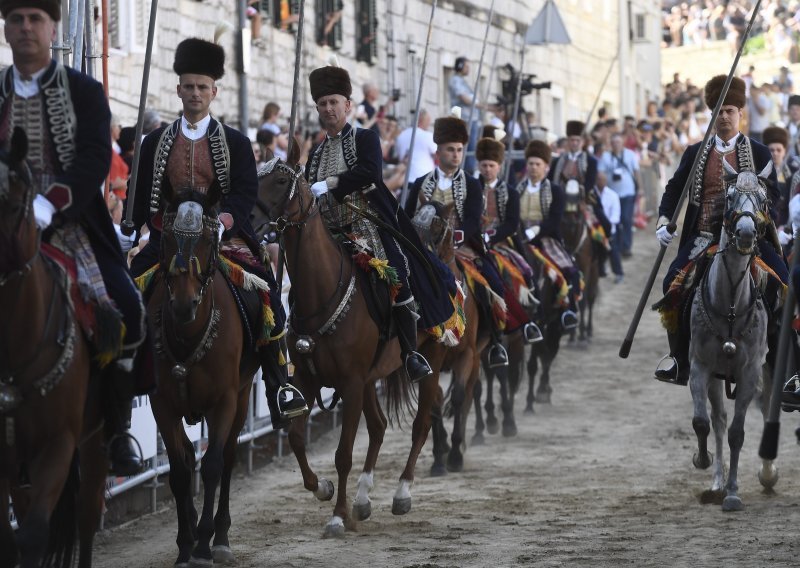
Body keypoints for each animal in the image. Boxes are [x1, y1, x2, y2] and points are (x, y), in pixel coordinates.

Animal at [142, 193, 258, 564]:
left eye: (208, 240)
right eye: (165, 239)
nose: (183, 304)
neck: (187, 337)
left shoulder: (224, 401)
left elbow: (212, 466)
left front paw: (206, 544)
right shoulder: (162, 405)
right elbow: (180, 471)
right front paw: (185, 545)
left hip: (242, 395)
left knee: (229, 457)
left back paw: (220, 536)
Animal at [688, 159, 780, 510]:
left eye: (765, 200)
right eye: (729, 196)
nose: (745, 233)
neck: (729, 303)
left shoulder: (750, 371)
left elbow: (738, 433)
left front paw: (733, 493)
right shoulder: (699, 366)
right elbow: (703, 422)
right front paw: (705, 464)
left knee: (765, 410)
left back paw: (766, 473)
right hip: (716, 376)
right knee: (717, 419)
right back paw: (715, 480)